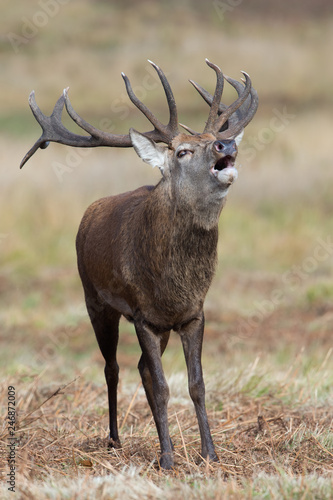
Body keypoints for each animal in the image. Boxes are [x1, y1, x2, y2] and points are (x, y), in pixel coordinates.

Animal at [20, 59, 256, 468]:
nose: (225, 144)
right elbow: (162, 387)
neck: (173, 282)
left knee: (142, 368)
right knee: (112, 368)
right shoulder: (143, 314)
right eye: (182, 152)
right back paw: (114, 438)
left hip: (155, 326)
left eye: (215, 137)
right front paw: (167, 459)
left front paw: (209, 453)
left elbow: (196, 384)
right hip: (95, 300)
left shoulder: (192, 314)